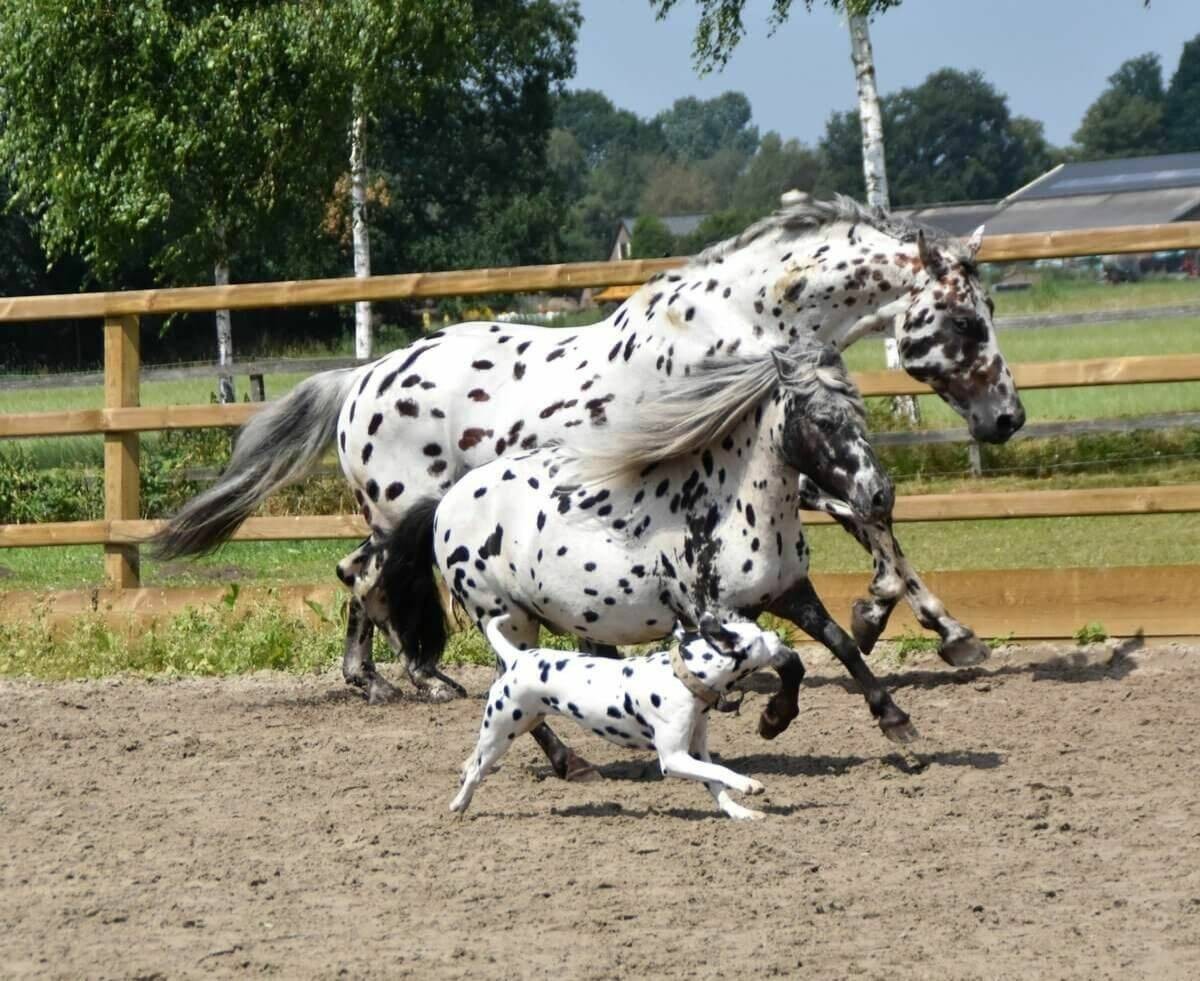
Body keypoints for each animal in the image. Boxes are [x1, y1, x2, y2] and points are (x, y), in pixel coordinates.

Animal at [151, 195, 1024, 721]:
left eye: (990, 310)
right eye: (966, 322)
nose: (1008, 417)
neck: (745, 320)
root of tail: (361, 377)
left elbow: (873, 520)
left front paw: (906, 624)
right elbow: (866, 517)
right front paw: (928, 628)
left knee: (358, 573)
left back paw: (385, 676)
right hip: (404, 506)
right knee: (374, 576)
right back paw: (414, 677)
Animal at [380, 337, 917, 777]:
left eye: (860, 414)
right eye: (824, 420)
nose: (879, 495)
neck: (730, 504)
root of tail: (443, 504)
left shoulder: (789, 592)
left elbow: (842, 645)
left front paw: (896, 720)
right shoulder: (717, 615)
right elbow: (791, 660)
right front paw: (773, 719)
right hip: (505, 616)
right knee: (512, 684)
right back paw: (572, 763)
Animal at [449, 612, 799, 820]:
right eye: (758, 636)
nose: (778, 637)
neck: (682, 677)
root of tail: (518, 657)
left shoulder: (697, 752)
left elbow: (715, 781)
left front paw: (739, 812)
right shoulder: (674, 759)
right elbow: (723, 772)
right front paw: (748, 784)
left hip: (508, 730)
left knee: (472, 762)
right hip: (500, 734)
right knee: (476, 773)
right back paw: (459, 804)